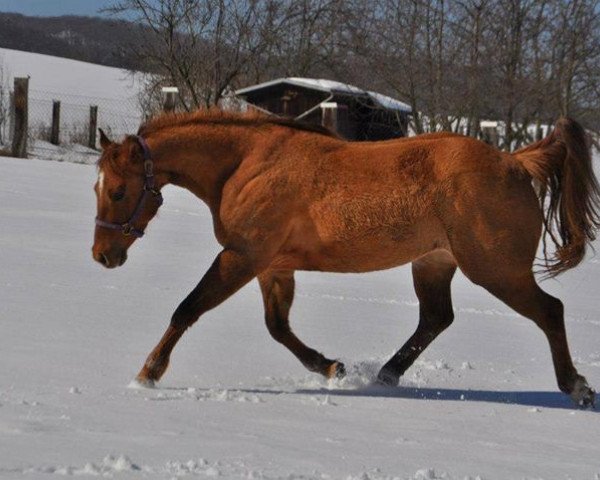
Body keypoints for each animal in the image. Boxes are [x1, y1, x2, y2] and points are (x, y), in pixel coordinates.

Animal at [91, 111, 596, 404]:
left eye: (117, 191)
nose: (102, 256)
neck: (246, 165)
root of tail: (516, 162)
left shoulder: (243, 256)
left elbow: (187, 308)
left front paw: (147, 374)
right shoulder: (273, 266)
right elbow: (278, 328)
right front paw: (333, 367)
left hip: (496, 270)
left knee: (550, 311)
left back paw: (577, 387)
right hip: (434, 263)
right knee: (436, 318)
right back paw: (385, 377)